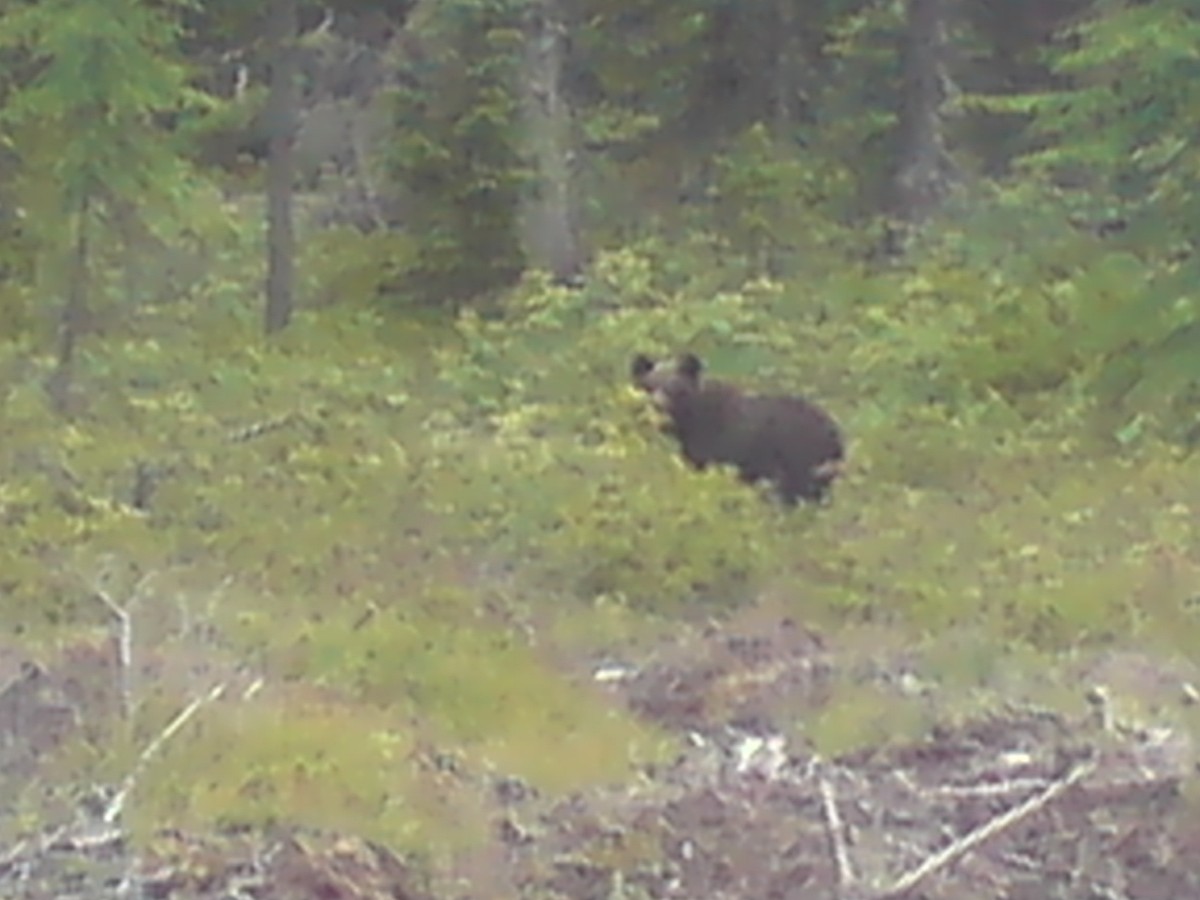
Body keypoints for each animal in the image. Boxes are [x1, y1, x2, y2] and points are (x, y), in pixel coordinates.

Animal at [628, 352, 844, 508]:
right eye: (648, 385)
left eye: (674, 387)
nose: (657, 405)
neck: (690, 421)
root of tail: (835, 434)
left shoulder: (718, 444)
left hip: (796, 457)